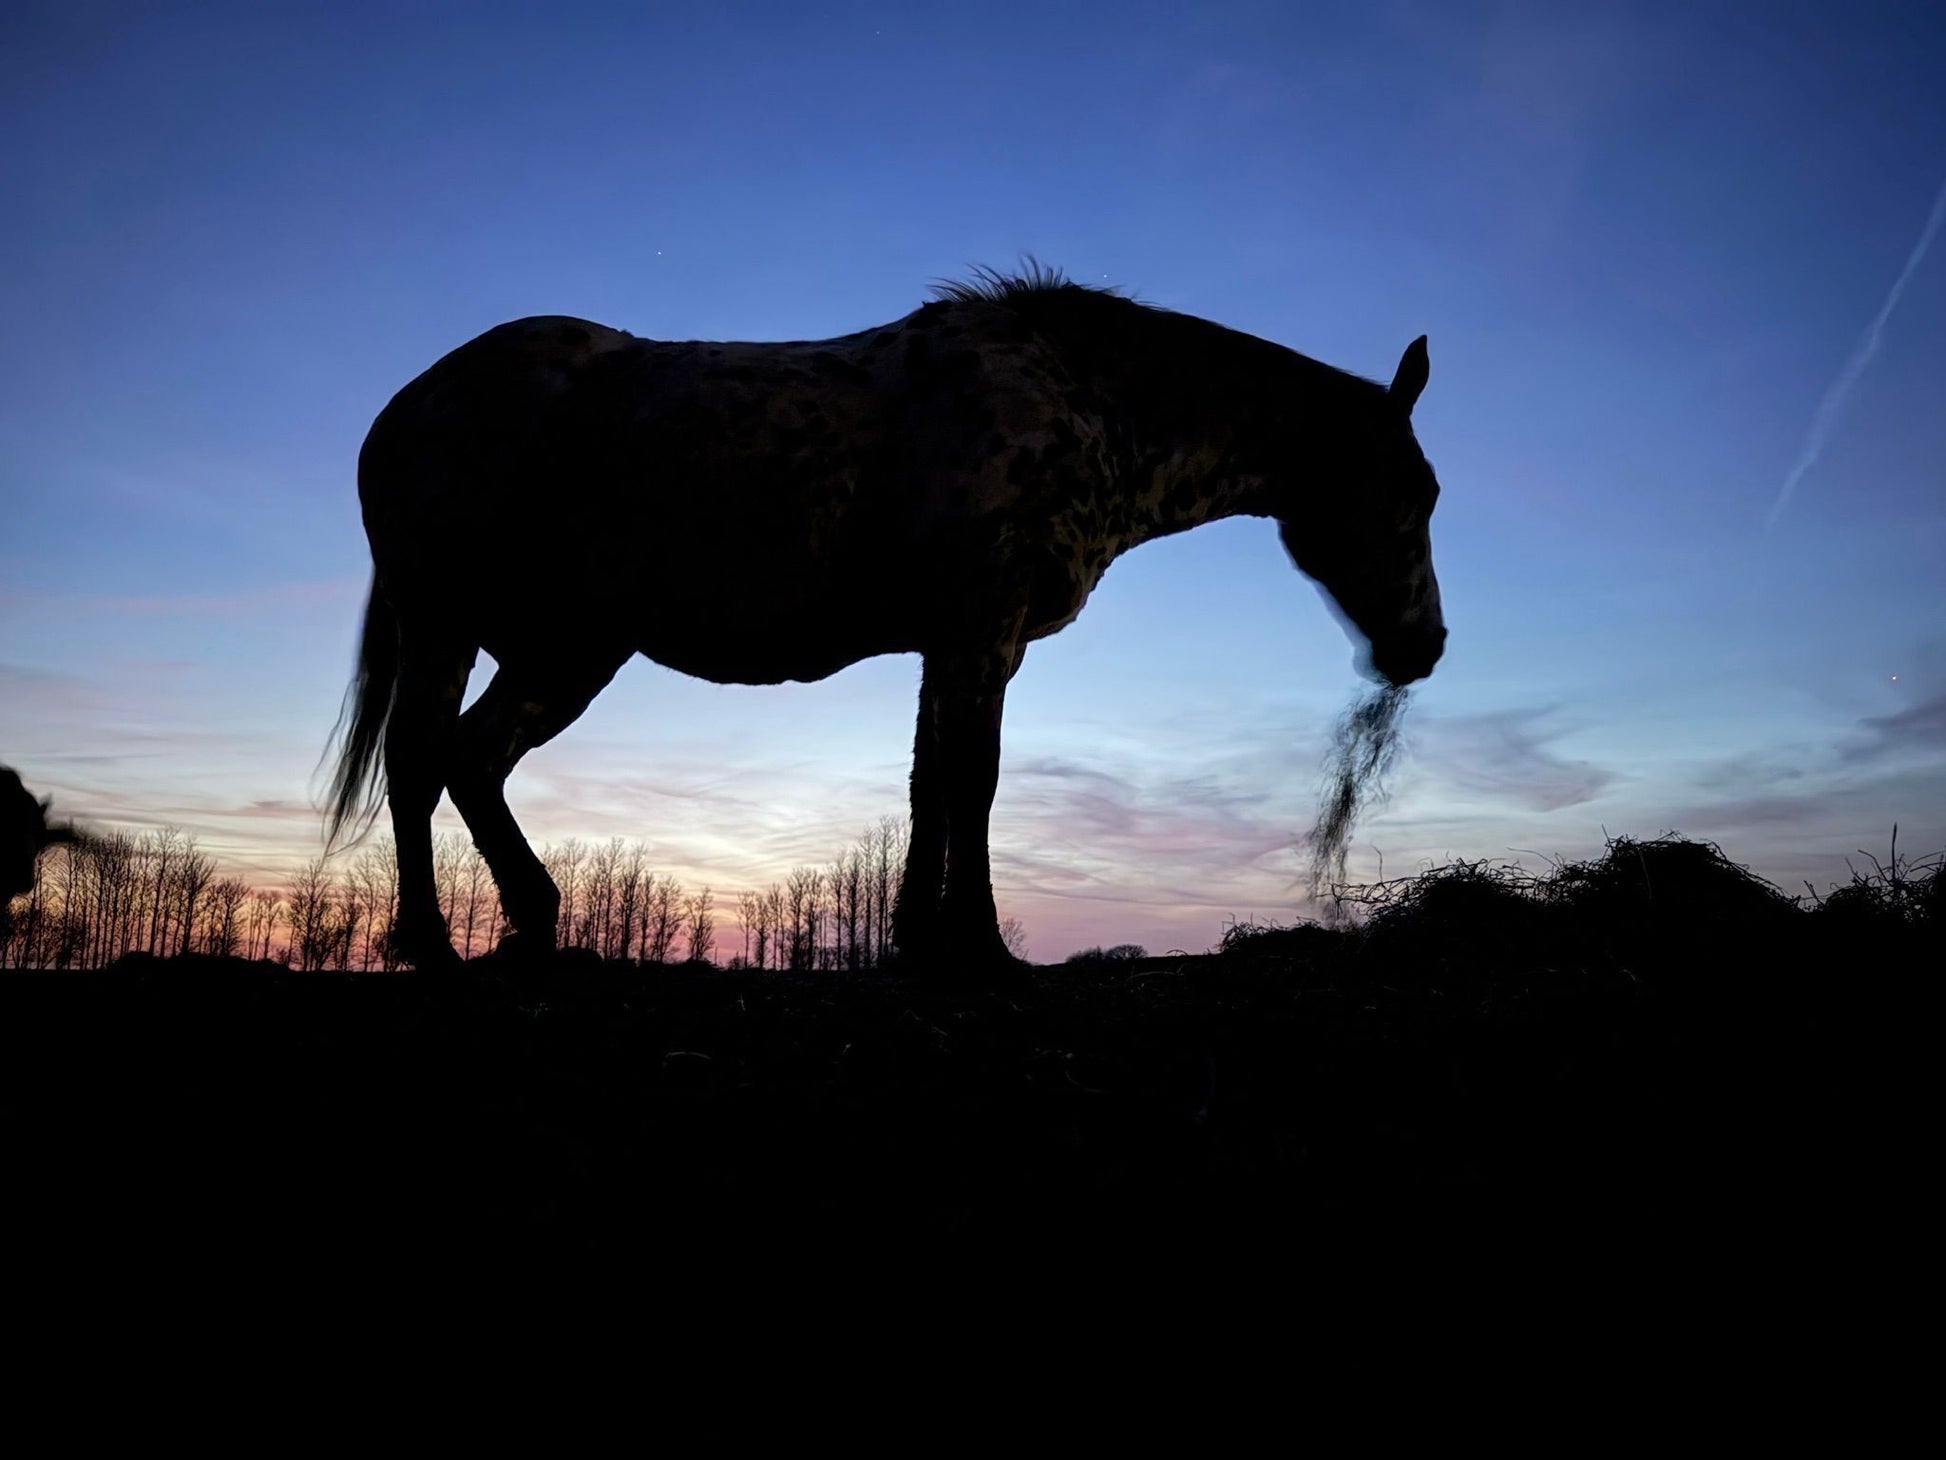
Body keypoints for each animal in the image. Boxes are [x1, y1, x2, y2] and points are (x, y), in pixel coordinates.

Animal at [326, 266, 1446, 972]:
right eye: (1416, 494)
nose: (1424, 646)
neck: (1077, 403)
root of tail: (404, 406)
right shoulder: (979, 627)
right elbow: (973, 783)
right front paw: (979, 947)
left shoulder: (951, 642)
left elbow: (927, 790)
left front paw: (917, 939)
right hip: (466, 625)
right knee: (422, 757)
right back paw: (431, 943)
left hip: (557, 646)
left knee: (467, 758)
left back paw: (532, 924)